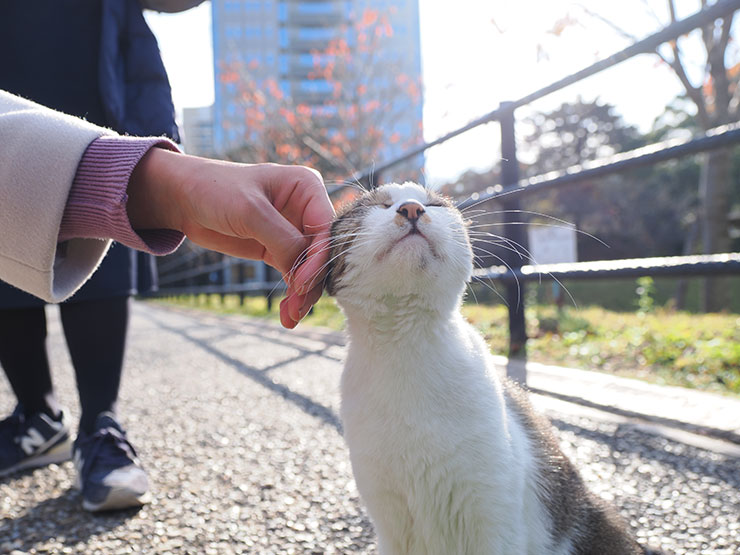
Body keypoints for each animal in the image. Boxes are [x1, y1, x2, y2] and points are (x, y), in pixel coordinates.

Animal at [322, 184, 640, 555]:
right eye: (377, 205)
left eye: (435, 204)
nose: (412, 208)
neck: (406, 347)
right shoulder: (389, 519)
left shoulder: (493, 513)